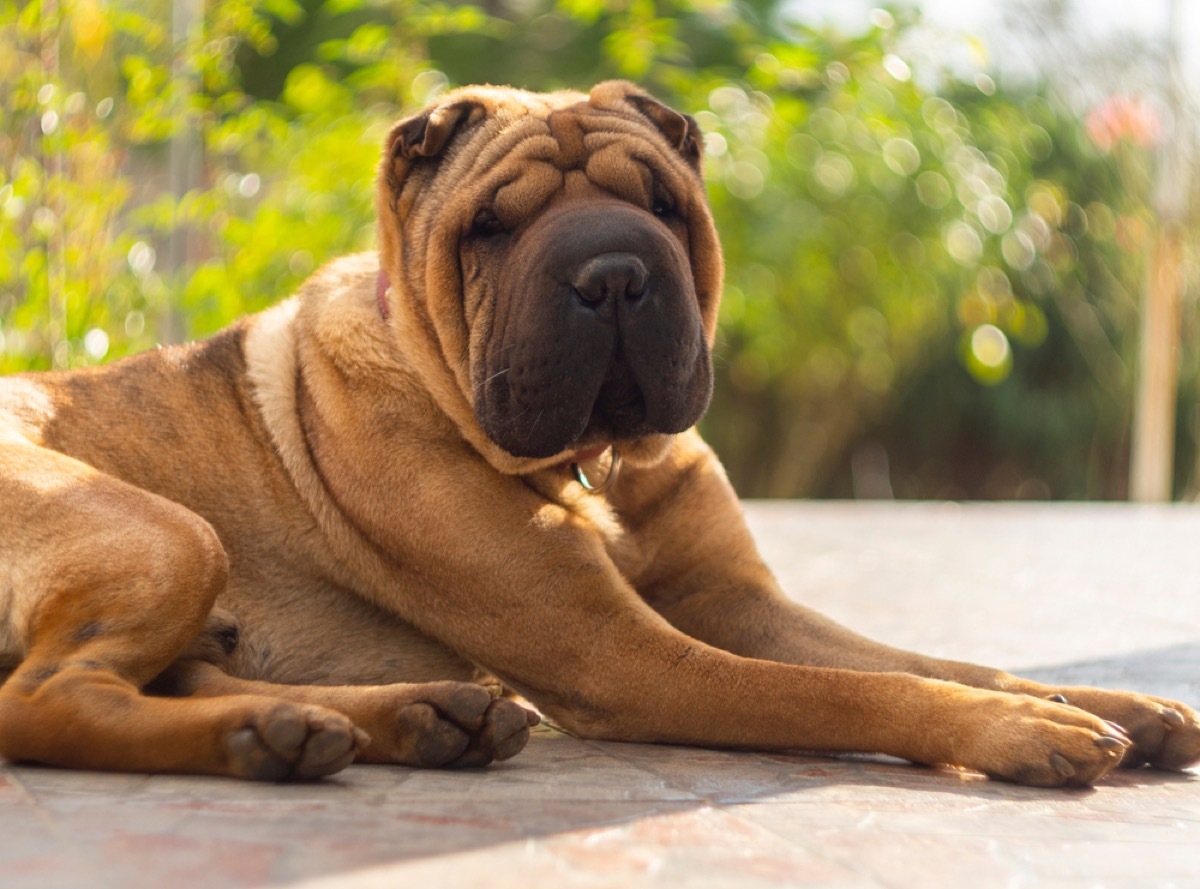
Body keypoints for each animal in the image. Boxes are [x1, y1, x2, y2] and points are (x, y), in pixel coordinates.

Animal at [2, 79, 1200, 782]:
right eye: (492, 226)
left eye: (664, 203)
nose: (614, 271)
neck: (598, 469)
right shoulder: (627, 655)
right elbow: (860, 687)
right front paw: (1024, 729)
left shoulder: (734, 601)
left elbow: (933, 656)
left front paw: (1104, 701)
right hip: (165, 533)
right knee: (45, 703)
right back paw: (286, 736)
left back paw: (372, 720)